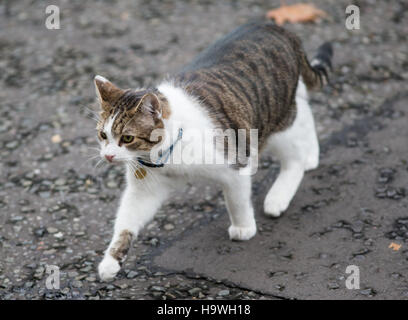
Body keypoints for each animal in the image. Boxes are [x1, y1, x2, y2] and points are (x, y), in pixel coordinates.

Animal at [94, 21, 334, 280]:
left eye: (127, 138)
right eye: (103, 135)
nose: (107, 156)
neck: (163, 156)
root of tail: (274, 26)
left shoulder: (236, 163)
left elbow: (237, 201)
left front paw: (243, 227)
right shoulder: (145, 189)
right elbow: (126, 222)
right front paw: (110, 261)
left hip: (277, 121)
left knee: (294, 158)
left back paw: (280, 194)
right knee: (305, 108)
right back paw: (311, 154)